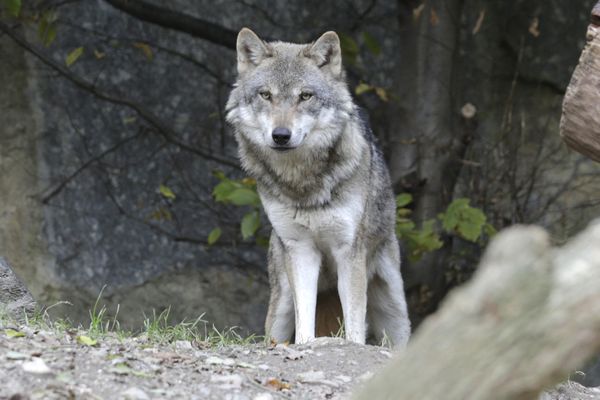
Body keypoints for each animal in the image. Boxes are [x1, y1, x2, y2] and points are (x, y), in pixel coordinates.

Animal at [226, 28, 412, 346]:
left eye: (305, 96)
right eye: (266, 95)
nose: (281, 135)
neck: (302, 184)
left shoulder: (348, 251)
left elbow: (354, 325)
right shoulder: (300, 250)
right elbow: (305, 320)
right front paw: (305, 345)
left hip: (395, 314)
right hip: (280, 308)